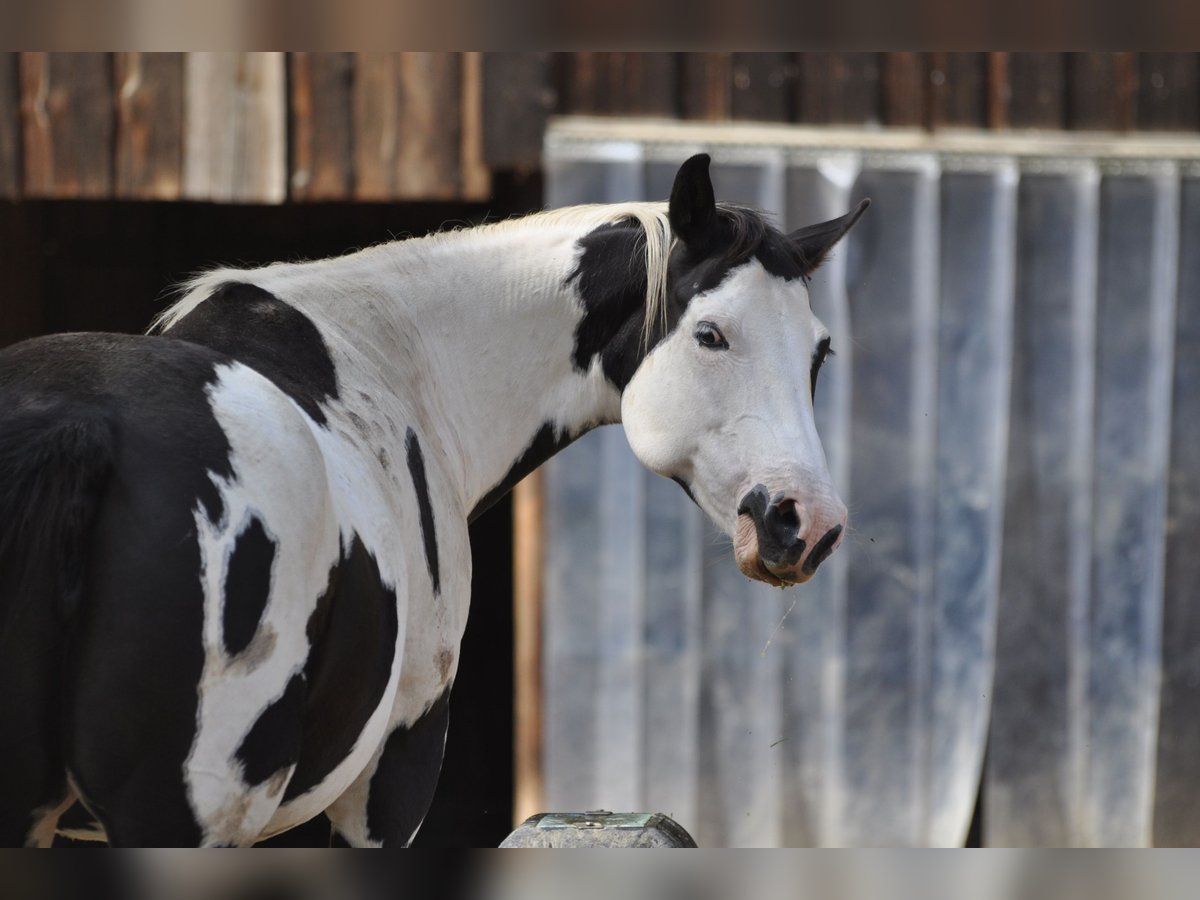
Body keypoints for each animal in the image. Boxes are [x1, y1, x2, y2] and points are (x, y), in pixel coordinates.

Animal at [0, 154, 866, 846]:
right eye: (710, 335)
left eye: (820, 352)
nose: (807, 523)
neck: (389, 359)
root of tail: (83, 429)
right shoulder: (396, 775)